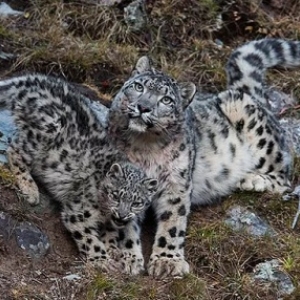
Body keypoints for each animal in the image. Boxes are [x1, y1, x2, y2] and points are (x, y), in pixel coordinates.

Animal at [0, 75, 158, 274]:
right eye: (115, 195)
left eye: (137, 203)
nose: (122, 215)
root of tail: (32, 80)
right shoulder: (78, 211)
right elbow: (90, 238)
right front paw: (103, 260)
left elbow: (111, 234)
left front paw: (114, 250)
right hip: (45, 130)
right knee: (14, 149)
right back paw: (30, 190)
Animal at [106, 39, 298, 278]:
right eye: (139, 87)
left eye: (166, 99)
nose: (144, 107)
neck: (145, 146)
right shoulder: (125, 180)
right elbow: (125, 221)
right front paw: (128, 258)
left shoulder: (176, 182)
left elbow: (173, 221)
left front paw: (167, 262)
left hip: (247, 117)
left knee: (284, 176)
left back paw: (253, 179)